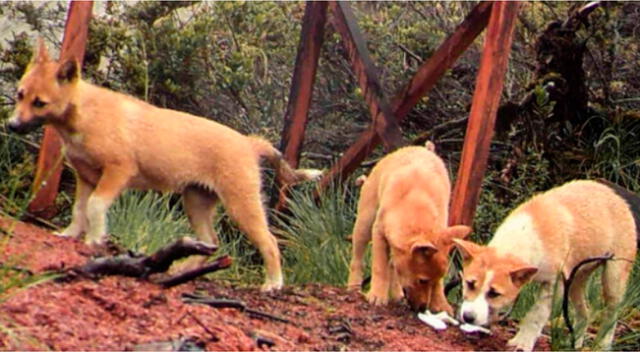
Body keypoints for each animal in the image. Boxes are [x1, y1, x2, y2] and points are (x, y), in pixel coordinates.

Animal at [8, 38, 322, 292]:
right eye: (20, 95)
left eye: (39, 103)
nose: (11, 126)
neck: (85, 114)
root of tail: (249, 143)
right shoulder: (86, 178)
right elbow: (79, 211)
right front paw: (70, 235)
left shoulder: (117, 172)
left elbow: (95, 207)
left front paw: (94, 240)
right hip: (196, 204)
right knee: (209, 243)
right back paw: (179, 270)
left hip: (241, 205)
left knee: (269, 243)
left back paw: (273, 283)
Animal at [350, 142, 470, 312]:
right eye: (422, 280)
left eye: (431, 281)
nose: (422, 308)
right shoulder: (379, 232)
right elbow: (379, 267)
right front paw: (377, 296)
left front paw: (440, 304)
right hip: (364, 223)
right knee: (357, 260)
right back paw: (353, 288)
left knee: (392, 266)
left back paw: (397, 294)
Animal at [452, 180, 636, 350]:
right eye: (469, 284)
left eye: (494, 293)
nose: (467, 317)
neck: (524, 237)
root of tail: (617, 196)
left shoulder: (554, 283)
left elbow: (536, 314)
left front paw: (522, 342)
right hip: (575, 280)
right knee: (585, 312)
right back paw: (575, 344)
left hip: (613, 279)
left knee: (611, 314)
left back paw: (601, 345)